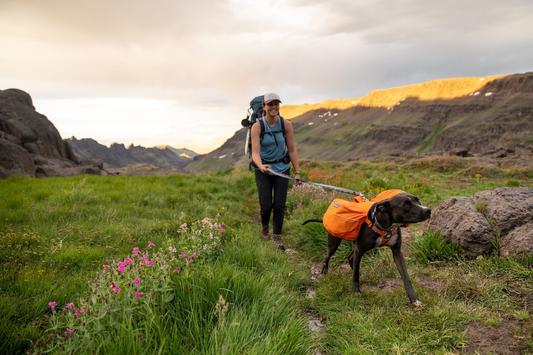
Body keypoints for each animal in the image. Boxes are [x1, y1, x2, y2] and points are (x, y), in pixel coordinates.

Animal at [302, 192, 430, 306]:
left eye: (418, 201)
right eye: (406, 205)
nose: (428, 210)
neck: (386, 227)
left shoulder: (397, 252)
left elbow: (406, 277)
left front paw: (414, 299)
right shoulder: (360, 250)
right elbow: (355, 275)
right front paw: (356, 291)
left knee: (351, 258)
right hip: (335, 242)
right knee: (328, 256)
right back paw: (324, 271)